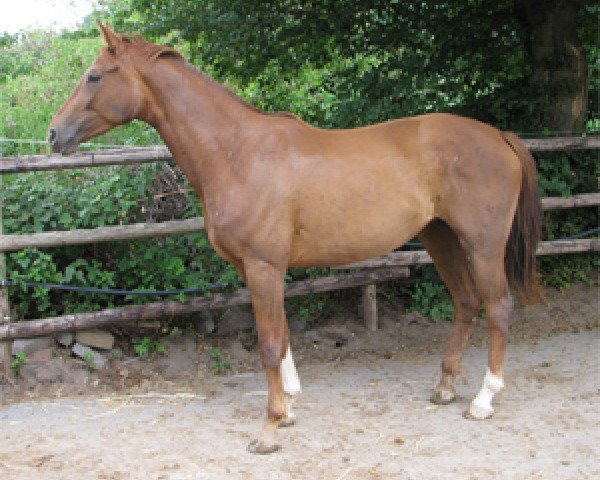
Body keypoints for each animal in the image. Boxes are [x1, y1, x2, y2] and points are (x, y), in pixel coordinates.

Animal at [49, 23, 540, 454]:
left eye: (94, 75)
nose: (54, 134)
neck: (238, 153)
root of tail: (498, 136)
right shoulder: (260, 270)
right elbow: (282, 338)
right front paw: (286, 412)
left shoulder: (264, 267)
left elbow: (269, 346)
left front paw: (268, 430)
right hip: (441, 239)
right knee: (467, 303)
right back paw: (445, 387)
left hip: (482, 245)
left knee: (498, 307)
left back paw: (483, 400)